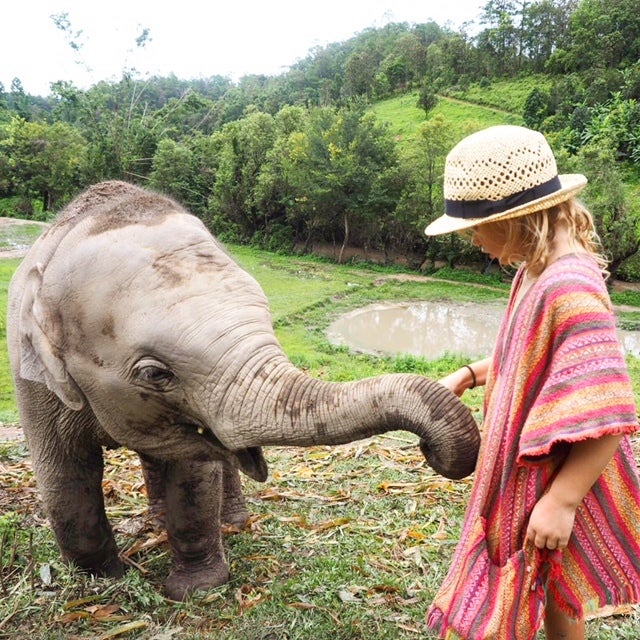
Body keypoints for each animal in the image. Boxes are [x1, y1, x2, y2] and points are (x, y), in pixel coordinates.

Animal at [7, 181, 480, 600]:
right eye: (155, 374)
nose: (430, 449)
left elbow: (193, 475)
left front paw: (195, 590)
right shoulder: (32, 378)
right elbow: (64, 476)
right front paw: (105, 583)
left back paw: (225, 523)